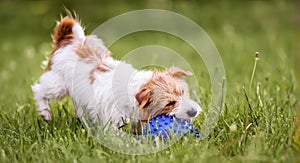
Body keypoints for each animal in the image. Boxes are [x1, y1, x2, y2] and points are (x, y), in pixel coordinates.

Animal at [31, 15, 202, 131]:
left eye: (182, 92)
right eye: (169, 103)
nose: (194, 112)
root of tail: (70, 41)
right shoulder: (113, 122)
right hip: (57, 84)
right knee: (39, 90)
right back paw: (45, 112)